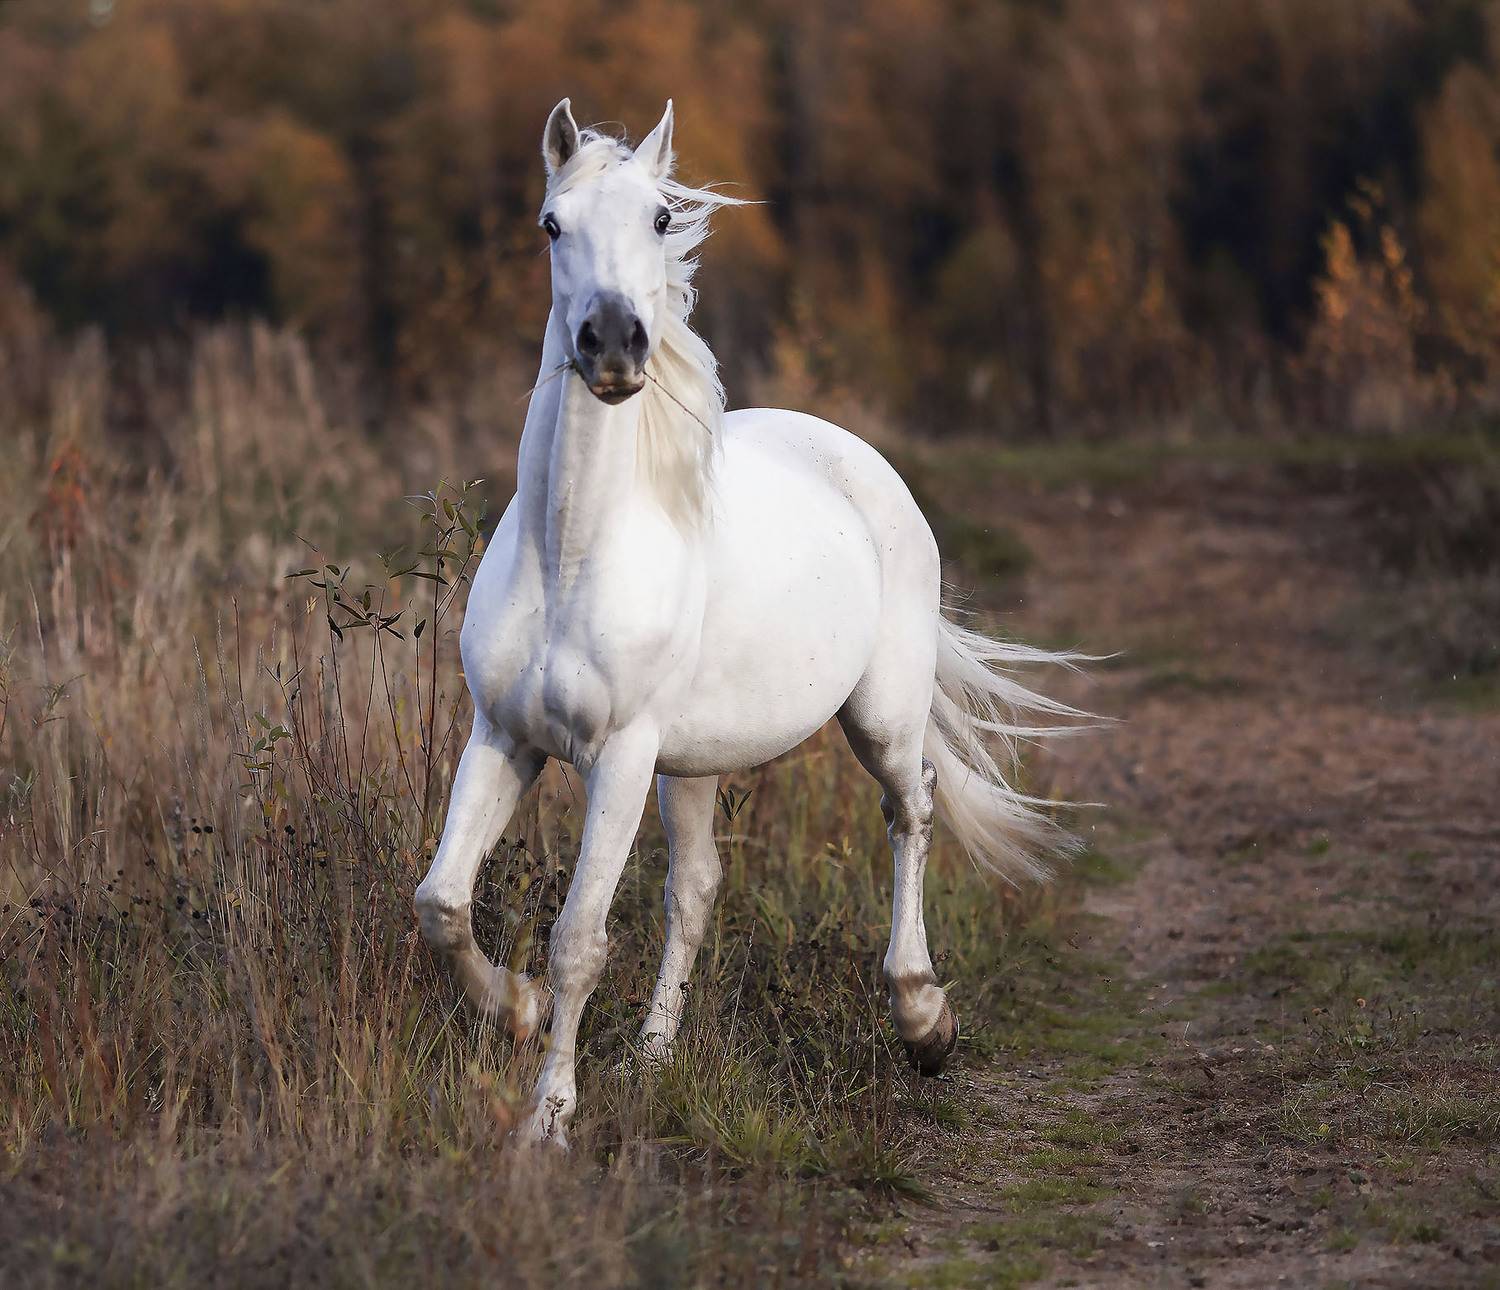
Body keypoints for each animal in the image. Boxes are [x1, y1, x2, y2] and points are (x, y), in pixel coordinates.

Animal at [415, 99, 1085, 1148]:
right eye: (551, 226)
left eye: (659, 218)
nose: (614, 343)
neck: (573, 554)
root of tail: (859, 460)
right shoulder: (503, 737)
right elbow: (442, 904)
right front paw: (517, 1011)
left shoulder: (617, 757)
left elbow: (577, 939)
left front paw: (549, 1118)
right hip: (689, 765)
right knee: (694, 889)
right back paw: (653, 1058)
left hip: (878, 719)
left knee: (914, 807)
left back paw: (924, 1019)